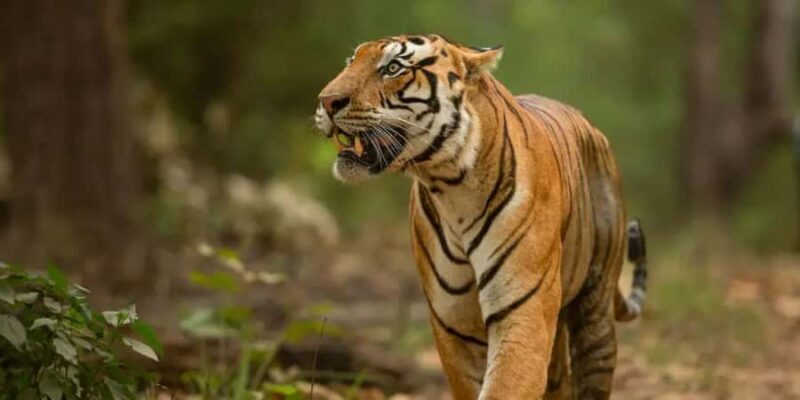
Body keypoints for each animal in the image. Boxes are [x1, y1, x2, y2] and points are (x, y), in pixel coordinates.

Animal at [315, 34, 648, 400]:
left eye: (393, 68)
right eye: (352, 61)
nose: (326, 101)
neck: (451, 185)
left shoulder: (522, 310)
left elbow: (506, 385)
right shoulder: (454, 323)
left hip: (595, 310)